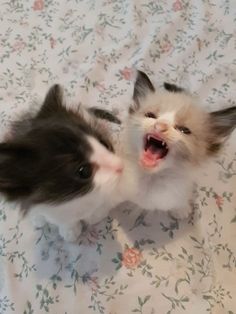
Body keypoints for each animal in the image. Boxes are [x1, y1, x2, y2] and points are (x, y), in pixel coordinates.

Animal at [0, 84, 124, 242]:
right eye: (84, 171)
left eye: (104, 143)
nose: (120, 166)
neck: (76, 200)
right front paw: (70, 230)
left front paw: (95, 216)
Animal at [120, 71, 236, 218]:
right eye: (150, 115)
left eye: (184, 130)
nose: (160, 126)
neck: (154, 178)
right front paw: (131, 212)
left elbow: (179, 202)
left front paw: (181, 210)